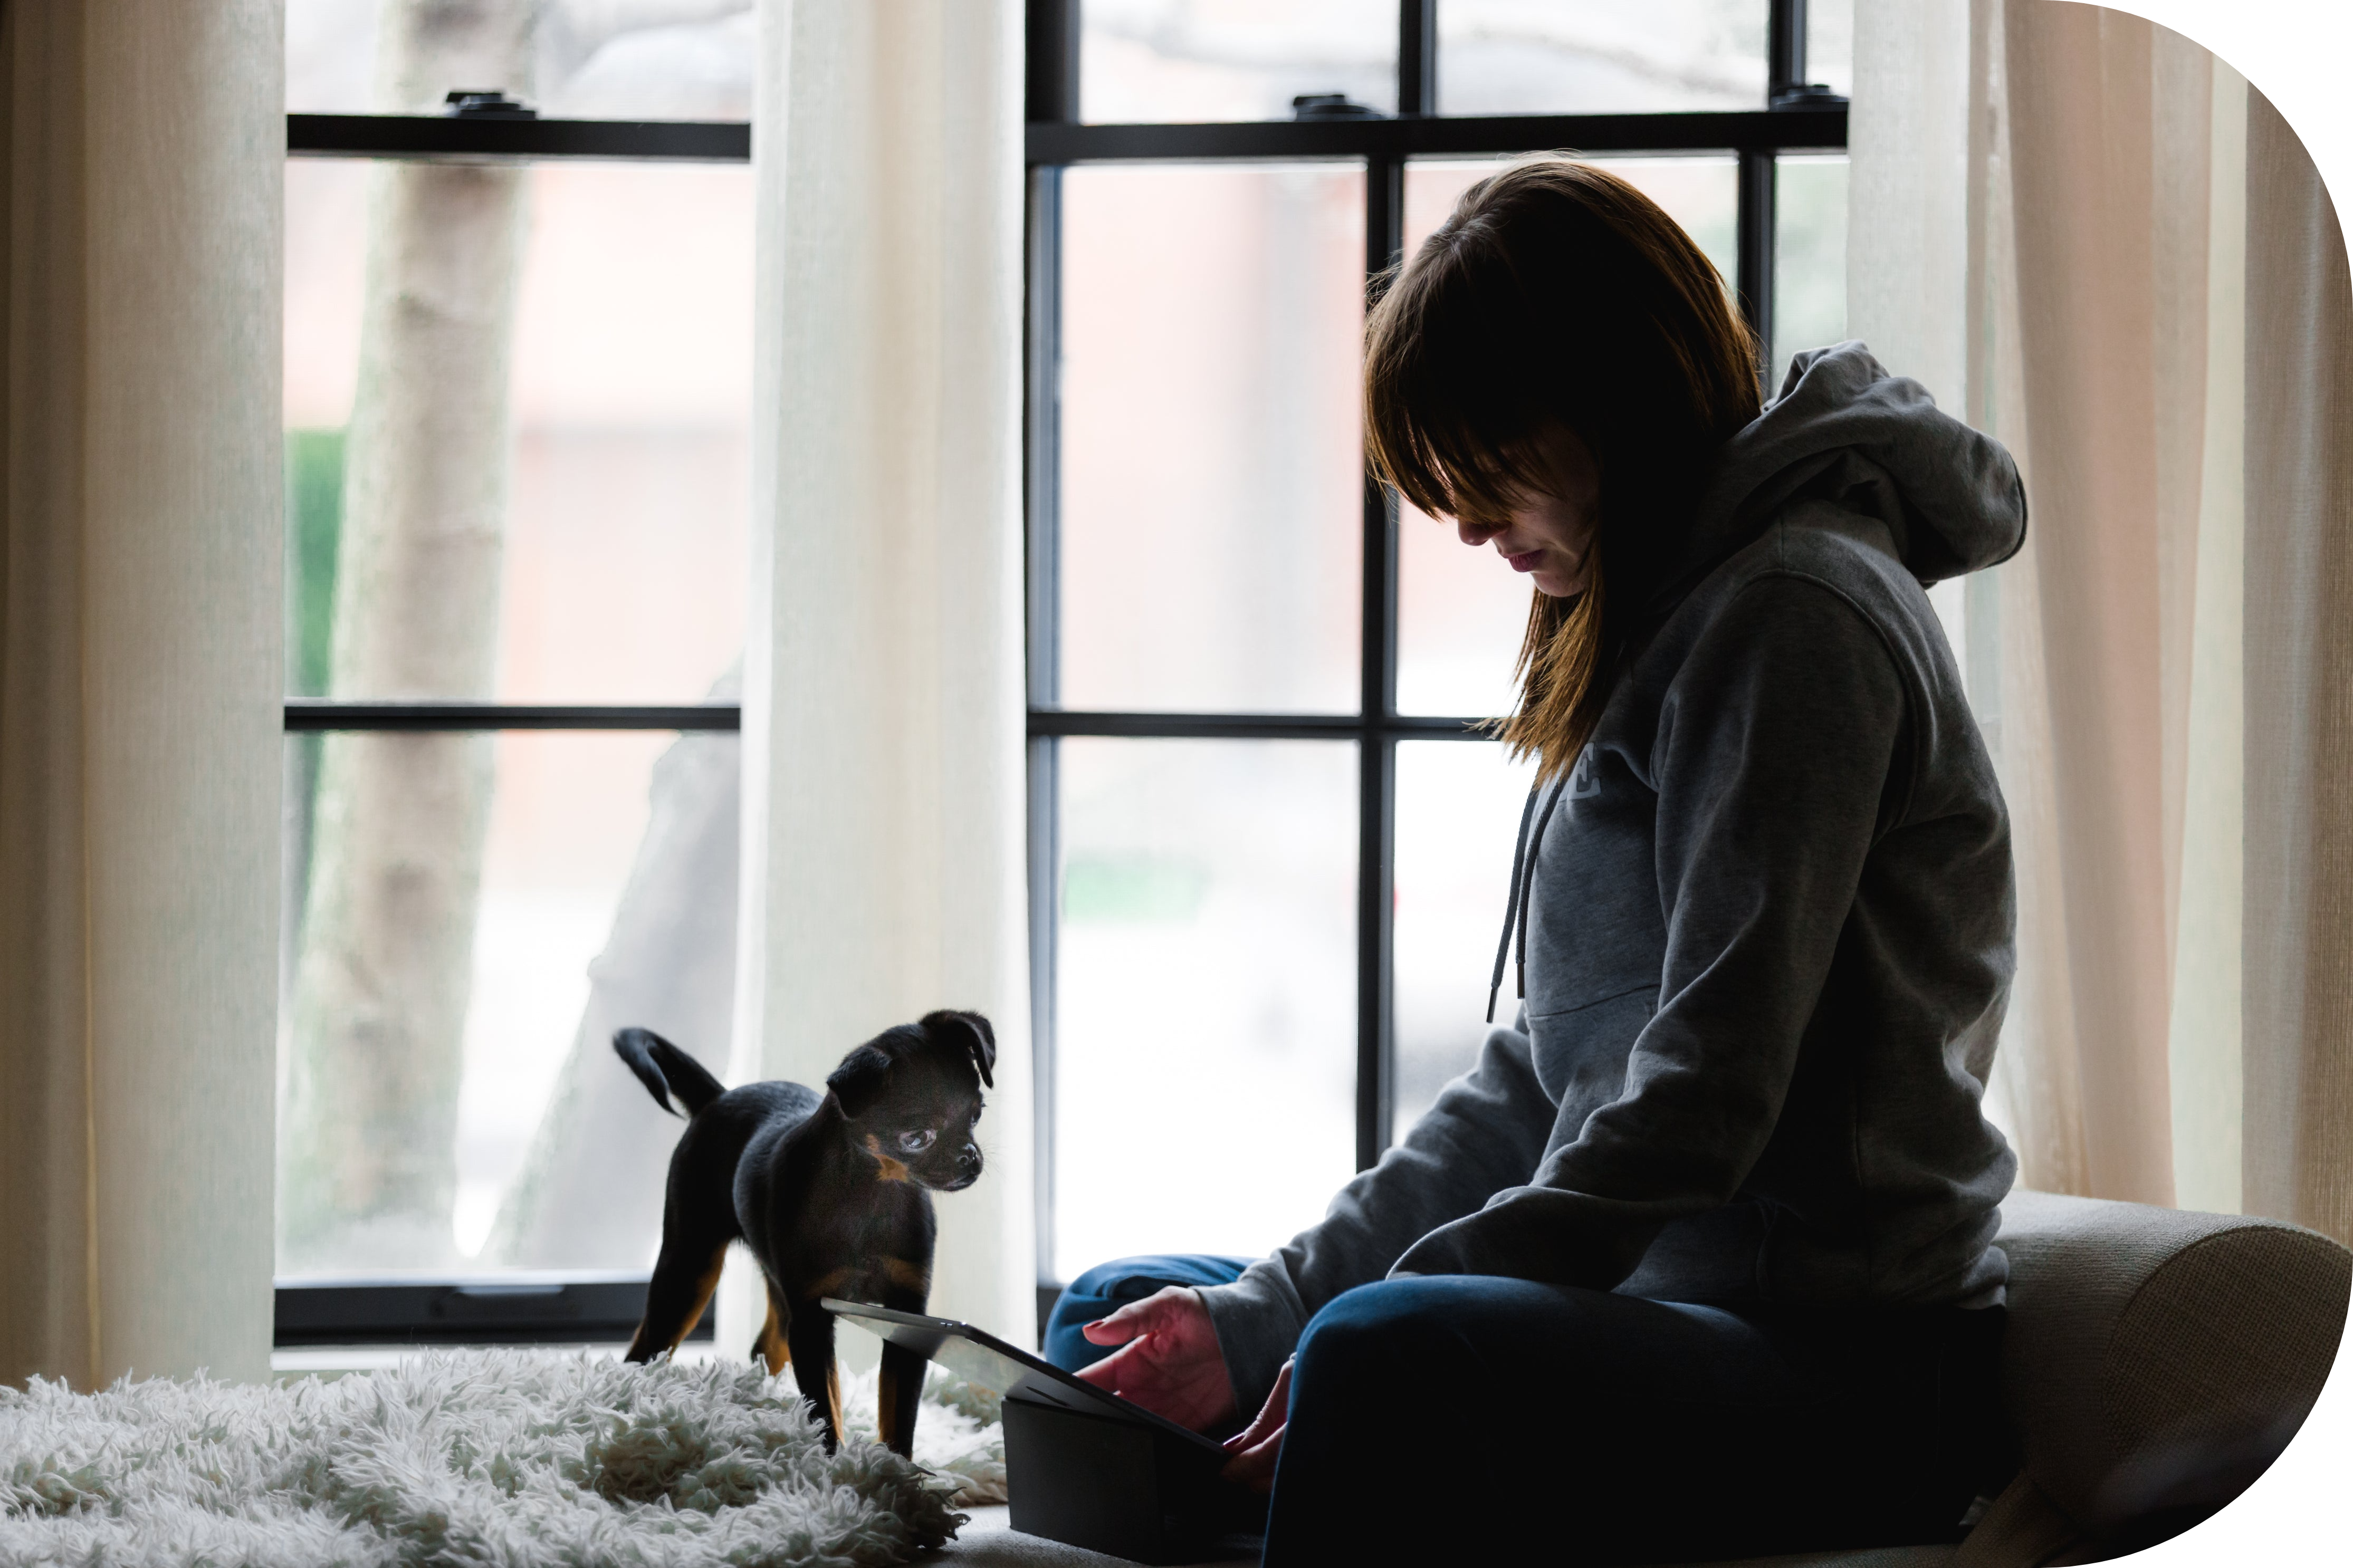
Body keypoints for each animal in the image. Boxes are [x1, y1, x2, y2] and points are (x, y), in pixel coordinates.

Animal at [611, 1011, 988, 1457]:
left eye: (976, 1115)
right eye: (917, 1137)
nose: (970, 1158)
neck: (874, 1191)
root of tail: (718, 1097)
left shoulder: (907, 1320)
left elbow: (899, 1412)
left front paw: (896, 1468)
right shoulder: (811, 1319)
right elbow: (826, 1405)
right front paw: (838, 1464)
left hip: (770, 1284)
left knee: (766, 1346)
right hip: (690, 1268)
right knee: (647, 1347)